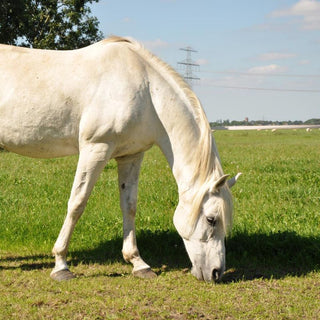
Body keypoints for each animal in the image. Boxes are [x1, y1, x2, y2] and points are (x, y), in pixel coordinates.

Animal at [0, 36, 240, 282]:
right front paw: (61, 265)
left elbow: (129, 206)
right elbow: (77, 203)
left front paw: (138, 263)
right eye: (211, 219)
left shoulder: (131, 155)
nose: (216, 273)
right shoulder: (96, 149)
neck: (147, 91)